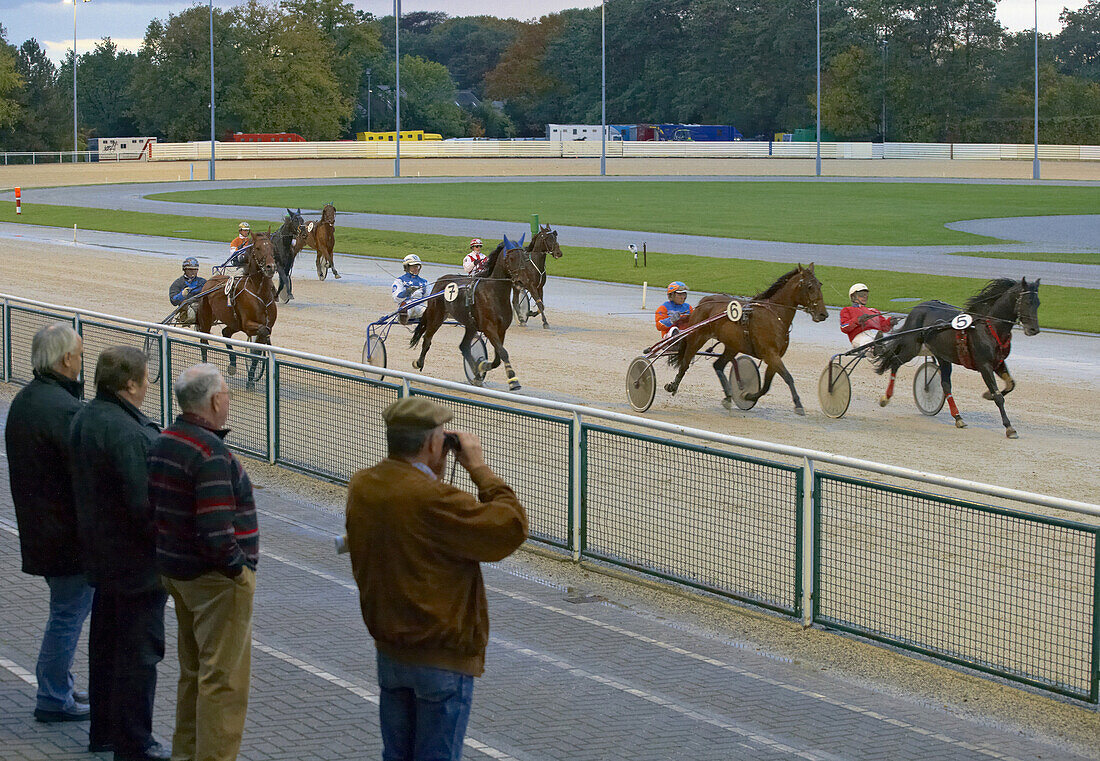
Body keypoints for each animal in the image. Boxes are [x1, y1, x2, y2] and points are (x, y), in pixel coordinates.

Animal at [195, 229, 279, 387]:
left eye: (272, 247)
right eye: (258, 248)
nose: (271, 267)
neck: (260, 293)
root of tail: (211, 280)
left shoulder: (264, 324)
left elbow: (257, 352)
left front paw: (251, 381)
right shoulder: (247, 324)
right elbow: (263, 332)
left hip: (234, 322)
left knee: (225, 332)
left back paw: (233, 364)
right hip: (206, 317)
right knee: (204, 341)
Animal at [413, 233, 532, 391]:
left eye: (524, 257)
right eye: (511, 258)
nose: (522, 281)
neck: (494, 292)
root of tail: (440, 280)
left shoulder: (501, 329)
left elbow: (498, 358)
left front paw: (481, 366)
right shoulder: (489, 328)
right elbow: (503, 353)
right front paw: (513, 380)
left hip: (470, 325)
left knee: (464, 346)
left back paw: (476, 373)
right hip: (436, 316)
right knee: (427, 338)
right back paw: (418, 362)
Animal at [660, 265, 827, 413]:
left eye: (820, 284)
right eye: (810, 286)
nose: (823, 314)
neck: (774, 315)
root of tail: (705, 300)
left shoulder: (774, 356)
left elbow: (766, 386)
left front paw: (748, 395)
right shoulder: (770, 354)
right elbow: (788, 377)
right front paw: (798, 405)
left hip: (732, 345)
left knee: (718, 365)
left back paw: (728, 396)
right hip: (697, 337)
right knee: (685, 363)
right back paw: (673, 386)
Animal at [871, 276, 1042, 437]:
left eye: (1038, 303)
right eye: (1027, 302)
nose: (1034, 330)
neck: (990, 327)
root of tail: (917, 308)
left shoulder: (998, 362)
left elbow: (1011, 384)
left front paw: (988, 395)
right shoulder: (984, 365)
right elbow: (999, 397)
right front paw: (1009, 427)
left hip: (943, 355)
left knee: (945, 384)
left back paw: (958, 417)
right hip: (911, 348)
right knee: (895, 362)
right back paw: (886, 398)